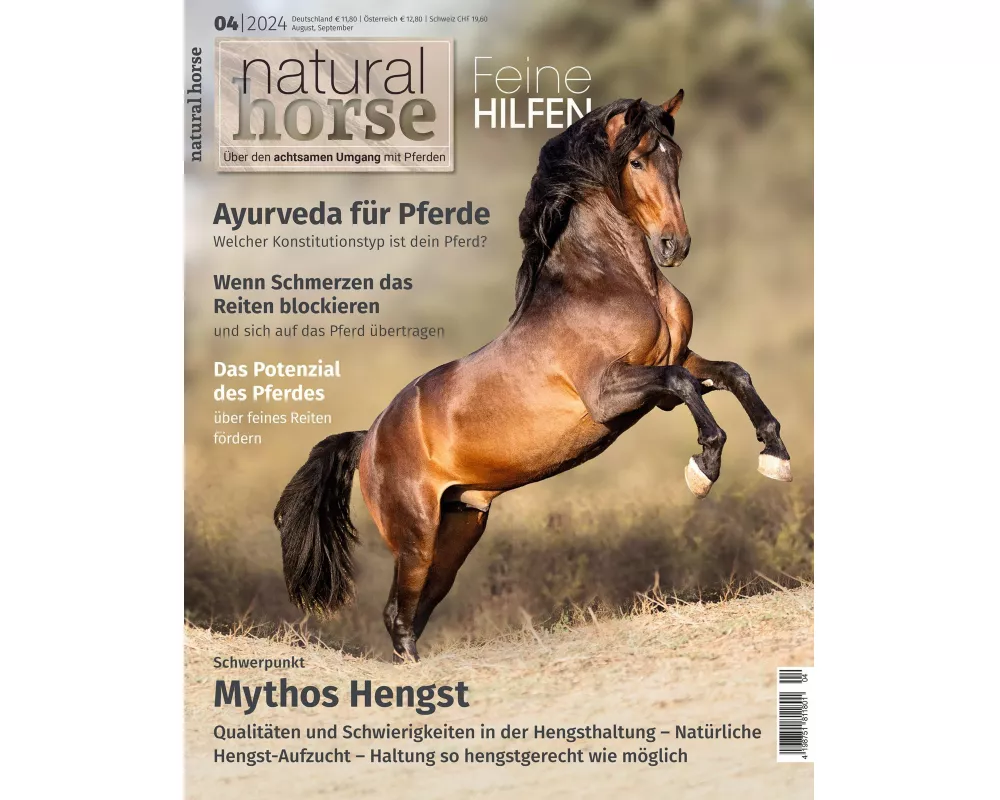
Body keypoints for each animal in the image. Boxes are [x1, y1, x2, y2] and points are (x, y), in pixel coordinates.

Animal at [274, 93, 792, 662]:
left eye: (675, 155)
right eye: (637, 161)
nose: (674, 245)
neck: (612, 283)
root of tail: (366, 440)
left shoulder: (676, 363)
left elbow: (732, 374)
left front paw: (774, 456)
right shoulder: (610, 392)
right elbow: (681, 384)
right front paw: (703, 468)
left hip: (460, 527)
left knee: (416, 612)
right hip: (416, 537)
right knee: (397, 615)